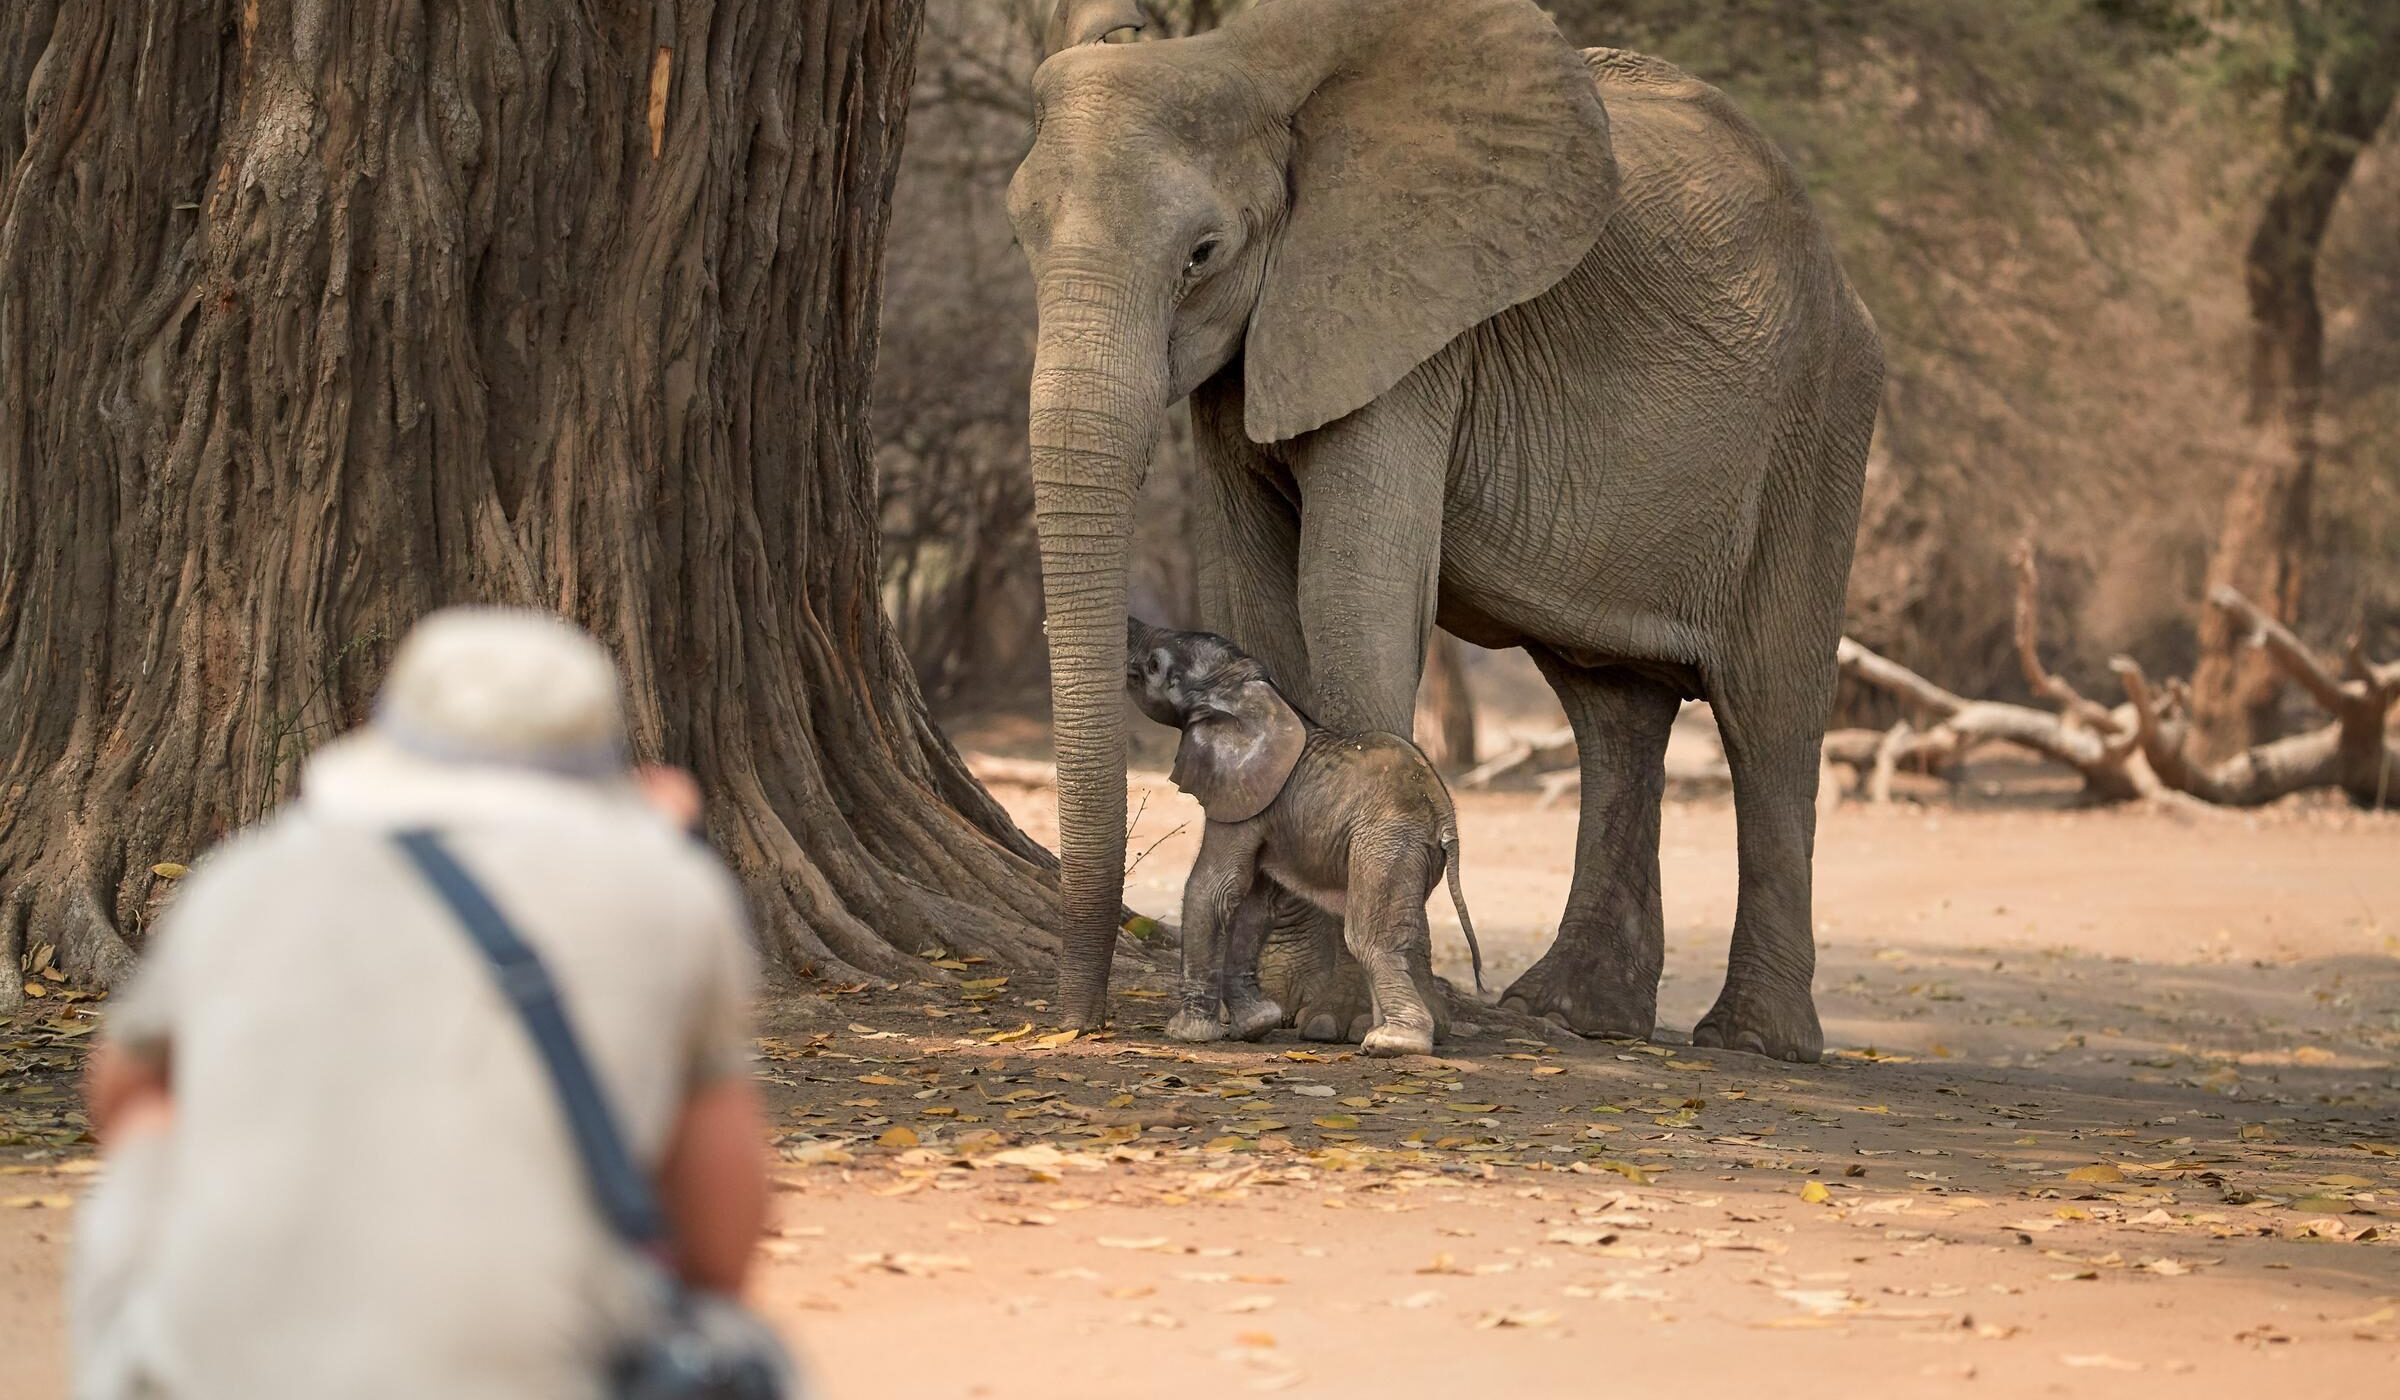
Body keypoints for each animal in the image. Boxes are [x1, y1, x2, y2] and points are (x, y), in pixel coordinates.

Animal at [1126, 617, 1485, 1055]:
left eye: (1155, 665)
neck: (1249, 692)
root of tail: (1445, 815)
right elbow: (1254, 903)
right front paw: (1256, 1025)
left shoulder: (1240, 798)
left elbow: (1213, 889)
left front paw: (1184, 1032)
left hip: (1387, 841)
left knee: (1368, 937)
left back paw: (1392, 1042)